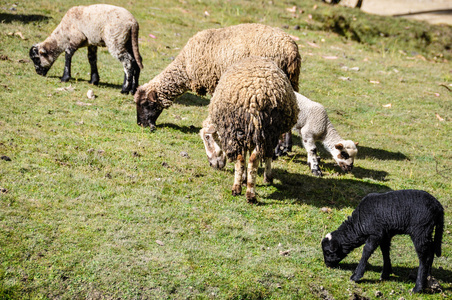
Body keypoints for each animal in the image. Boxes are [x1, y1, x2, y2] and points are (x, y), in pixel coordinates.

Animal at [133, 22, 300, 131]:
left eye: (145, 104)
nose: (140, 124)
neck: (185, 67)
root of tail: (291, 49)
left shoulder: (214, 81)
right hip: (288, 83)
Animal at [199, 56, 298, 204]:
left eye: (207, 137)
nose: (212, 165)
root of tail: (255, 100)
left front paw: (253, 179)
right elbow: (264, 156)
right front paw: (265, 178)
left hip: (240, 131)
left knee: (241, 158)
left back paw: (238, 189)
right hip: (262, 132)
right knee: (251, 160)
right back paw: (249, 193)